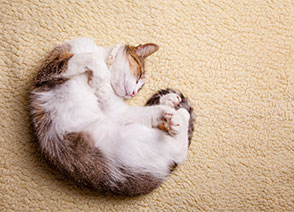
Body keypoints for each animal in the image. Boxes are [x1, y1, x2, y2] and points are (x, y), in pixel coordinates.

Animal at [29, 37, 194, 196]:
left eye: (140, 87)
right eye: (139, 77)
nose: (133, 93)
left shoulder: (115, 109)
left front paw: (168, 100)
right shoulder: (50, 69)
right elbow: (90, 58)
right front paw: (98, 76)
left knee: (180, 151)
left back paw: (178, 116)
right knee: (178, 151)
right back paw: (178, 116)